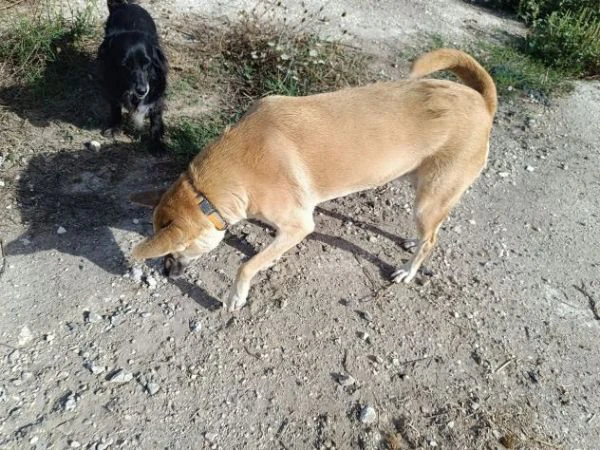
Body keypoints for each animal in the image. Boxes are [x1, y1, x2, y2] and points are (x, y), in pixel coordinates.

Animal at [98, 0, 168, 153]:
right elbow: (115, 106)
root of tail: (124, 5)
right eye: (125, 65)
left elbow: (156, 114)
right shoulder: (110, 79)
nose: (142, 90)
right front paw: (115, 127)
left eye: (147, 63)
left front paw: (156, 141)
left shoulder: (156, 87)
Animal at [131, 48, 496, 310]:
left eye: (173, 251)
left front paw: (236, 295)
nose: (165, 273)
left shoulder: (300, 226)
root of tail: (482, 102)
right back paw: (411, 240)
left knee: (431, 240)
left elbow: (247, 265)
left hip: (429, 199)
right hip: (420, 187)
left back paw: (409, 269)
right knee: (430, 232)